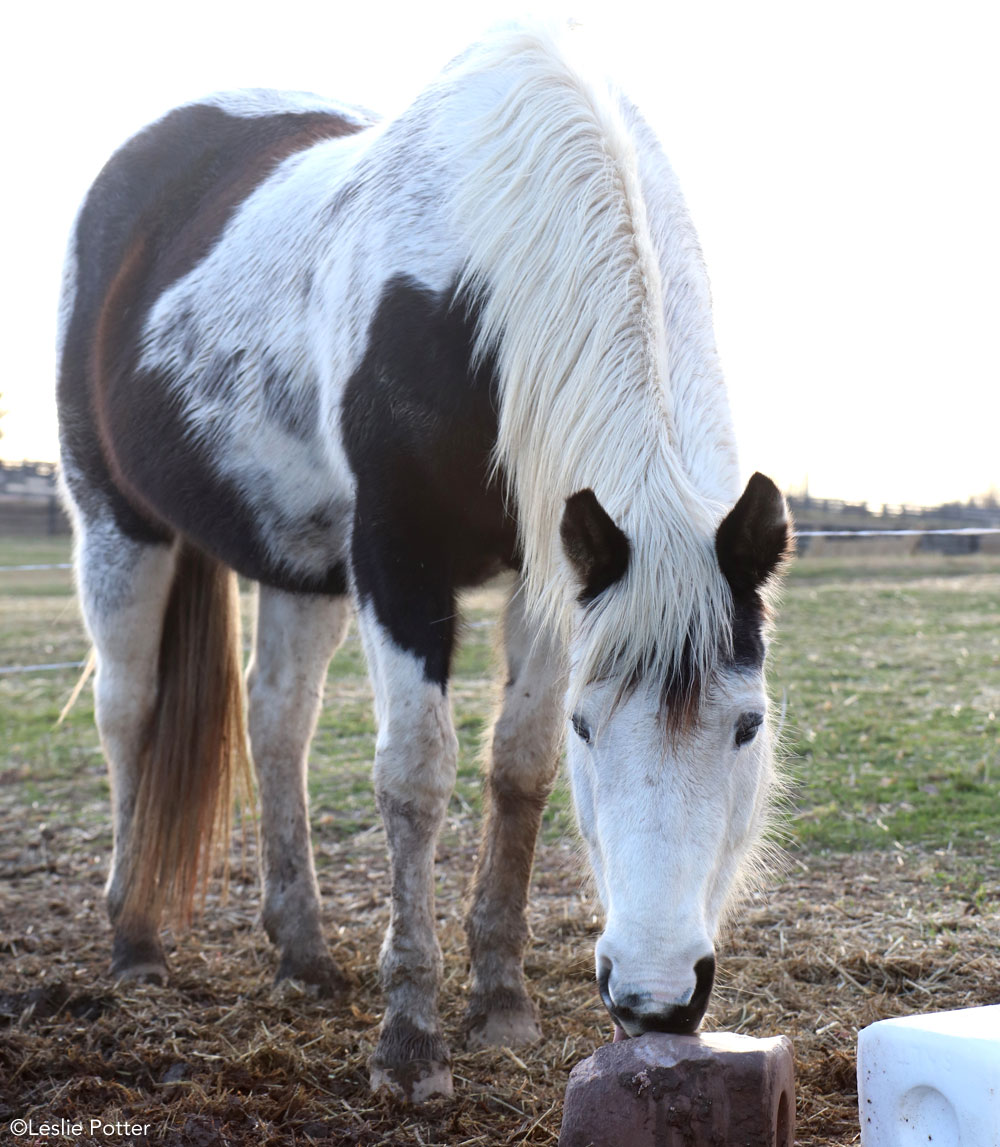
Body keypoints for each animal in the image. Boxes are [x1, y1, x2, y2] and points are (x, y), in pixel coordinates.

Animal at [56, 24, 788, 1101]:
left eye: (746, 726)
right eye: (592, 725)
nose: (657, 997)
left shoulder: (549, 569)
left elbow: (515, 769)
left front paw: (501, 1002)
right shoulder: (395, 558)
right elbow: (415, 774)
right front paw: (409, 1038)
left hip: (298, 562)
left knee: (277, 722)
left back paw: (303, 952)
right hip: (116, 523)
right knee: (129, 710)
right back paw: (136, 937)